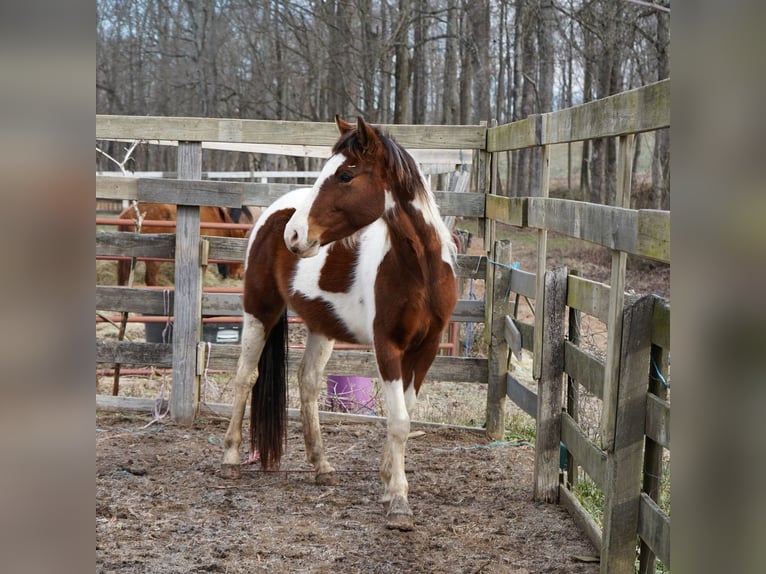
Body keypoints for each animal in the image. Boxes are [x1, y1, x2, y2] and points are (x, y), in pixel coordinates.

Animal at [222, 116, 462, 532]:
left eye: (347, 174)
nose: (294, 235)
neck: (420, 271)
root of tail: (272, 214)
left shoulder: (426, 348)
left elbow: (405, 414)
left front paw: (387, 482)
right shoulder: (387, 346)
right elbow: (398, 420)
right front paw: (399, 501)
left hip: (322, 327)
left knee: (308, 382)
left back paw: (322, 466)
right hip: (259, 311)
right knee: (245, 377)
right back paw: (231, 459)